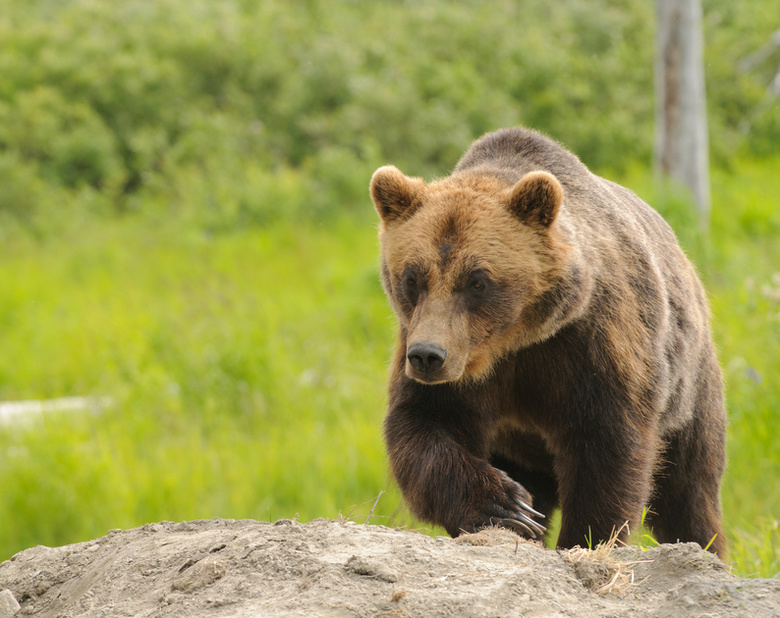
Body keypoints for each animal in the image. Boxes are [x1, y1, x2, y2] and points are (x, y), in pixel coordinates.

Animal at [368, 125, 728, 552]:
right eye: (412, 278)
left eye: (477, 281)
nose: (428, 356)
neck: (512, 341)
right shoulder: (449, 358)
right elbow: (425, 424)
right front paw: (507, 506)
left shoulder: (590, 344)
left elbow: (606, 447)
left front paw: (585, 538)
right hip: (517, 443)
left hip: (690, 391)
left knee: (689, 490)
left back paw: (704, 545)